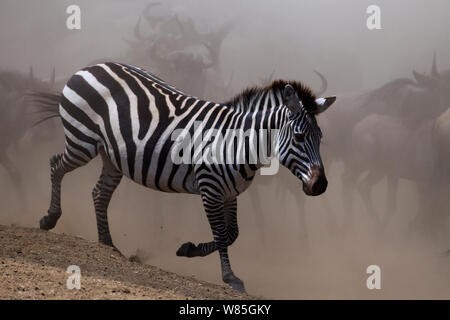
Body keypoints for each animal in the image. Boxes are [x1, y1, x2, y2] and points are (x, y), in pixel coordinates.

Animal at [33, 62, 336, 292]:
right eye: (299, 137)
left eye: (320, 137)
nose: (320, 185)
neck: (239, 142)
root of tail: (90, 67)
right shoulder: (210, 189)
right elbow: (222, 234)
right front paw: (230, 278)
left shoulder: (231, 192)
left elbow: (233, 233)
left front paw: (189, 249)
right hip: (82, 142)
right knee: (55, 165)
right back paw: (50, 218)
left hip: (111, 157)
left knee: (99, 192)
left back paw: (107, 244)